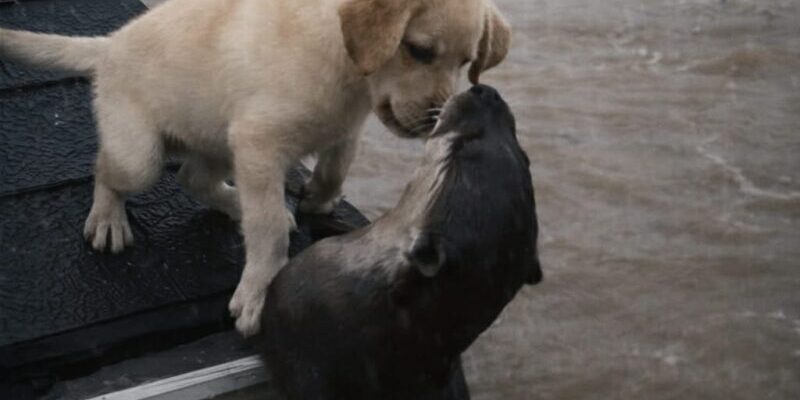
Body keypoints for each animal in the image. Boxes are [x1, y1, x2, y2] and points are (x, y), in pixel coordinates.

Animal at [0, 0, 511, 335]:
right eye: (419, 50)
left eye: (467, 61)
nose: (436, 122)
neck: (346, 70)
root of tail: (108, 46)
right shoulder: (260, 143)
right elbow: (269, 230)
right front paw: (259, 292)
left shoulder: (339, 131)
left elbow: (336, 168)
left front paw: (317, 199)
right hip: (140, 155)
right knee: (107, 169)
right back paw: (108, 220)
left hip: (218, 139)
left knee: (194, 178)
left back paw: (233, 204)